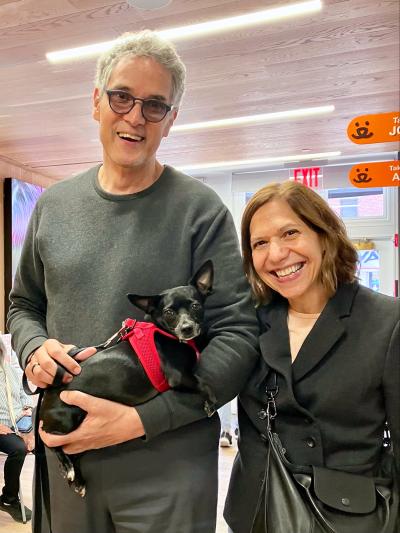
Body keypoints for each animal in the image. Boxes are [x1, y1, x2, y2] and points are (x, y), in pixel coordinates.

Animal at [38, 260, 216, 496]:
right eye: (169, 312)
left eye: (196, 306)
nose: (186, 328)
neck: (167, 334)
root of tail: (48, 391)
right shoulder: (178, 377)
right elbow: (204, 383)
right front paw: (210, 403)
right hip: (67, 421)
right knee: (52, 442)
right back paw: (67, 468)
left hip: (81, 436)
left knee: (72, 452)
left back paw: (77, 480)